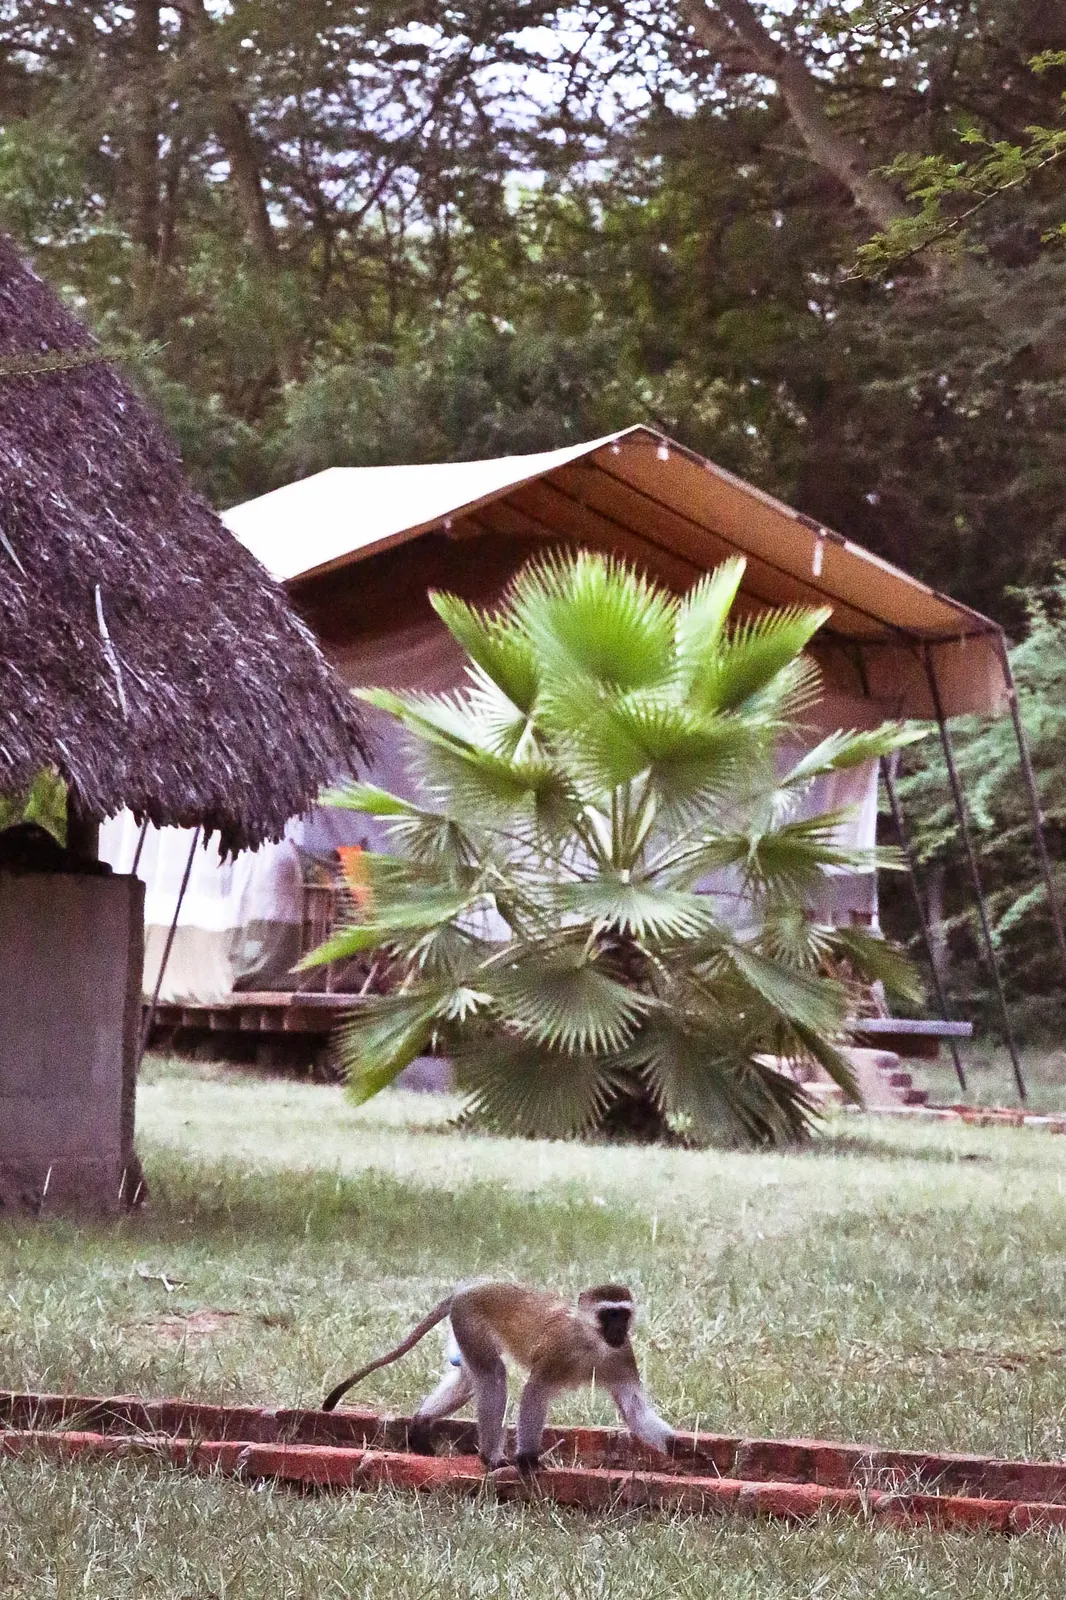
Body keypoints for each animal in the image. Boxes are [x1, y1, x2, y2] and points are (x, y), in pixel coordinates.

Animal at [321, 1280, 674, 1472]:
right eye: (609, 1314)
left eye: (623, 1315)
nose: (619, 1330)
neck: (591, 1341)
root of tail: (467, 1289)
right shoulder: (558, 1351)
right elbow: (535, 1392)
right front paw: (528, 1459)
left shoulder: (622, 1355)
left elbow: (634, 1410)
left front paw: (678, 1449)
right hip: (469, 1320)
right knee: (492, 1376)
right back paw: (491, 1458)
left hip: (462, 1329)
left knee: (468, 1381)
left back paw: (421, 1425)